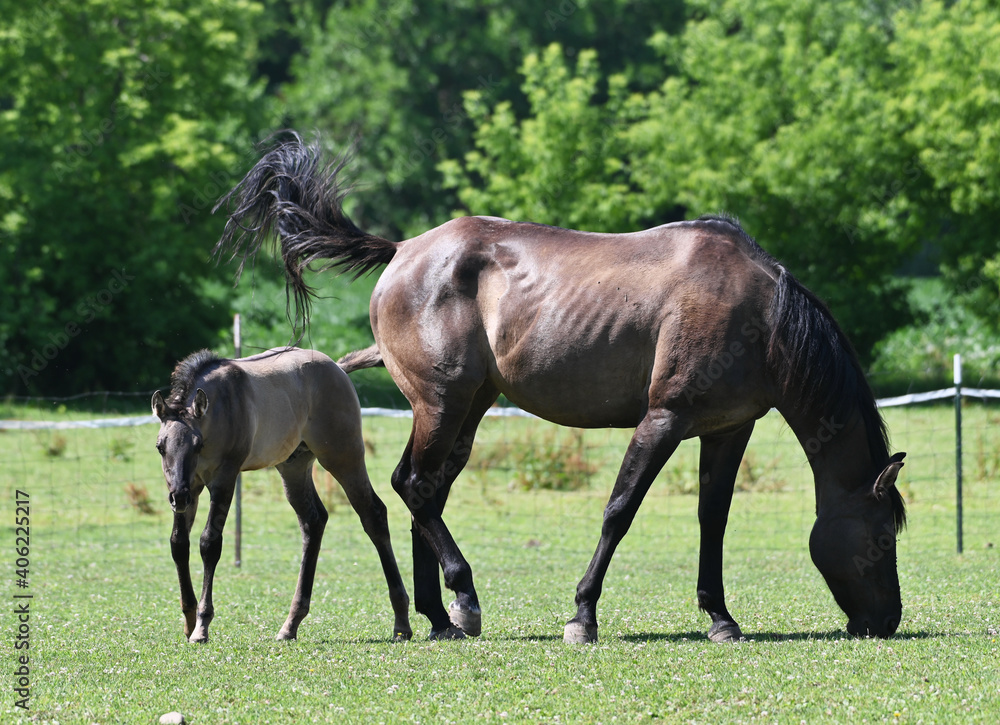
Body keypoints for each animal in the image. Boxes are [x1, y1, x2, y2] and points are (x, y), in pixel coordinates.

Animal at [151, 346, 412, 643]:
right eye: (160, 447)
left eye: (197, 445)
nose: (178, 498)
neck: (220, 408)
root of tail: (338, 368)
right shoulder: (191, 485)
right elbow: (178, 543)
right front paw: (189, 620)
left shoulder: (224, 479)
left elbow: (209, 543)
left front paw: (202, 626)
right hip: (293, 466)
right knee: (314, 521)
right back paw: (291, 624)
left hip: (343, 456)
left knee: (373, 514)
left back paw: (402, 622)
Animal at [212, 132, 907, 643]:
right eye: (881, 537)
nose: (886, 621)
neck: (759, 314)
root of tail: (404, 250)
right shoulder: (664, 420)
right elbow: (620, 510)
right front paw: (583, 615)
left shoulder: (729, 429)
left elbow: (713, 519)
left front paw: (720, 617)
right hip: (441, 405)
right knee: (412, 486)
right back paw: (462, 596)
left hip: (465, 411)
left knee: (427, 492)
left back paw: (440, 617)